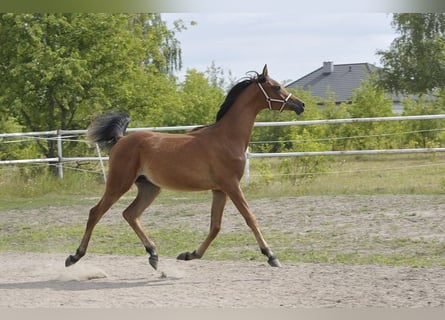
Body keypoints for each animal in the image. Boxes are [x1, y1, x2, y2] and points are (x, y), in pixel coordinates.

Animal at [65, 65, 302, 270]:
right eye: (276, 87)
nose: (300, 105)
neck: (227, 137)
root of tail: (121, 139)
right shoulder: (231, 185)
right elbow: (249, 217)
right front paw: (271, 256)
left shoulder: (219, 189)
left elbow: (215, 226)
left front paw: (189, 255)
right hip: (119, 183)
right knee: (96, 212)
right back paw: (75, 256)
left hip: (150, 187)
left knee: (130, 214)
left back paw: (153, 254)